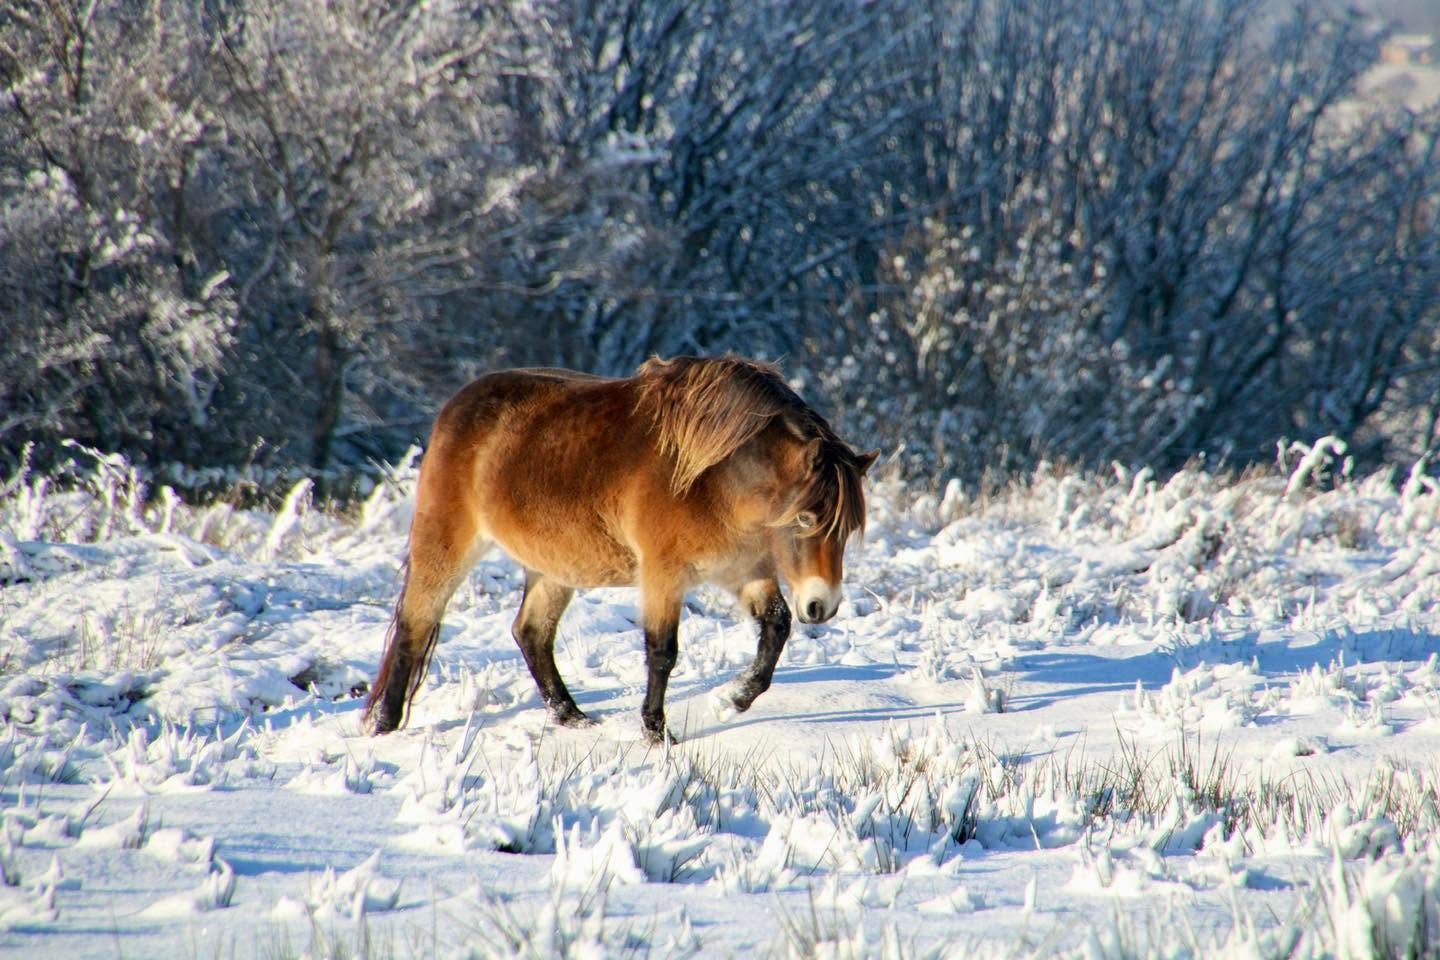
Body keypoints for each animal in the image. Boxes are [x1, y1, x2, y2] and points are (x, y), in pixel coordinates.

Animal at [363, 355, 878, 743]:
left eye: (849, 528)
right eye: (806, 519)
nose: (823, 605)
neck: (713, 478)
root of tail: (457, 405)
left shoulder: (744, 571)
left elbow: (776, 629)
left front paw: (735, 699)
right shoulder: (664, 575)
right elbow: (662, 652)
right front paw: (656, 733)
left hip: (554, 569)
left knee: (530, 633)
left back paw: (572, 718)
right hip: (446, 544)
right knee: (414, 625)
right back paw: (386, 725)